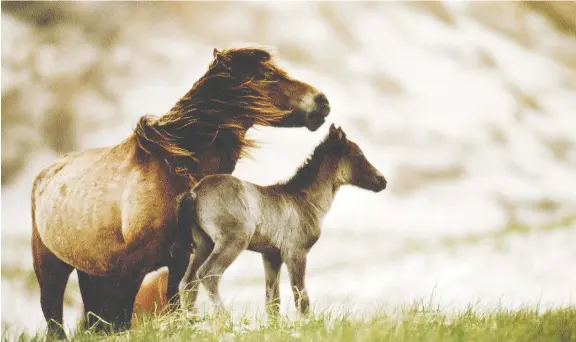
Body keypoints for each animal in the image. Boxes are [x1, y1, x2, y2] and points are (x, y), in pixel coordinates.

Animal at [31, 46, 328, 338]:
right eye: (268, 75)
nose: (322, 102)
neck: (173, 169)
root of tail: (43, 176)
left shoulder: (179, 260)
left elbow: (175, 305)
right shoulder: (131, 272)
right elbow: (124, 319)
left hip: (91, 272)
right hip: (52, 269)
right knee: (55, 321)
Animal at [178, 124, 390, 316]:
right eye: (359, 155)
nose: (382, 181)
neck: (304, 199)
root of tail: (196, 192)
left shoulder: (271, 256)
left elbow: (273, 302)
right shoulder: (295, 253)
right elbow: (302, 299)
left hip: (204, 244)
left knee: (188, 283)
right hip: (233, 241)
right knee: (208, 275)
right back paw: (224, 320)